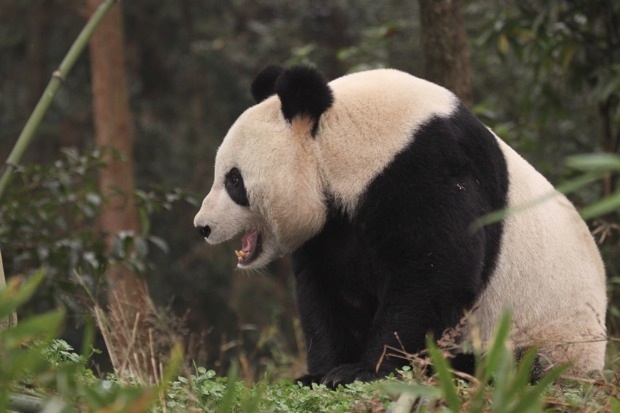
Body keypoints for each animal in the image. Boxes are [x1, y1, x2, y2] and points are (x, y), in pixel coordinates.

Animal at [194, 64, 604, 386]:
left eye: (233, 181)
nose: (203, 227)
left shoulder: (428, 167)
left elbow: (434, 271)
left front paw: (364, 371)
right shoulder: (332, 227)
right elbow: (329, 291)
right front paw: (320, 373)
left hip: (550, 338)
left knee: (508, 365)